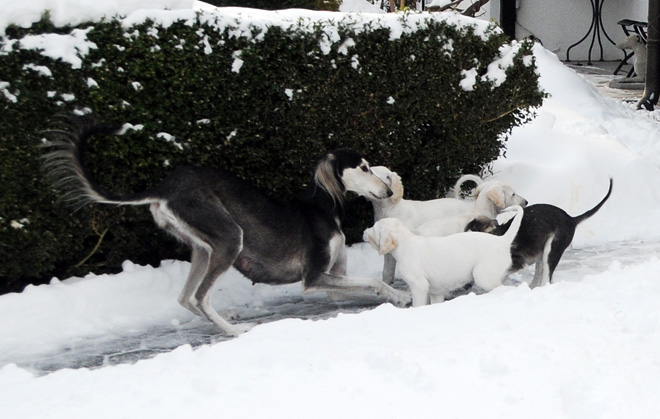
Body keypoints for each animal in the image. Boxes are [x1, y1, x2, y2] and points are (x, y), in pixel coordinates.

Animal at [364, 208, 524, 308]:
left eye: (374, 227)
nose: (364, 232)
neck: (405, 241)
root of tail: (502, 240)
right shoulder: (436, 292)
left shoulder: (419, 286)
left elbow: (418, 305)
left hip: (483, 276)